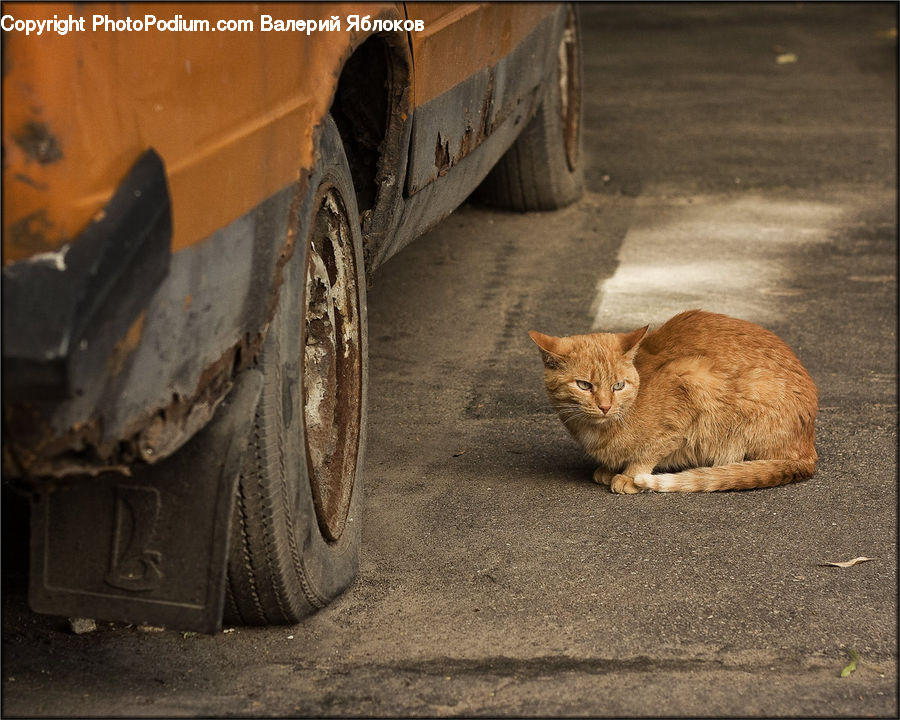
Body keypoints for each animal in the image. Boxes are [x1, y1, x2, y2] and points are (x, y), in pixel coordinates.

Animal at [532, 310, 820, 496]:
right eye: (584, 385)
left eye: (618, 386)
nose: (604, 406)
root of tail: (808, 449)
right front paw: (608, 468)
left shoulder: (688, 380)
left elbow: (651, 451)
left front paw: (629, 475)